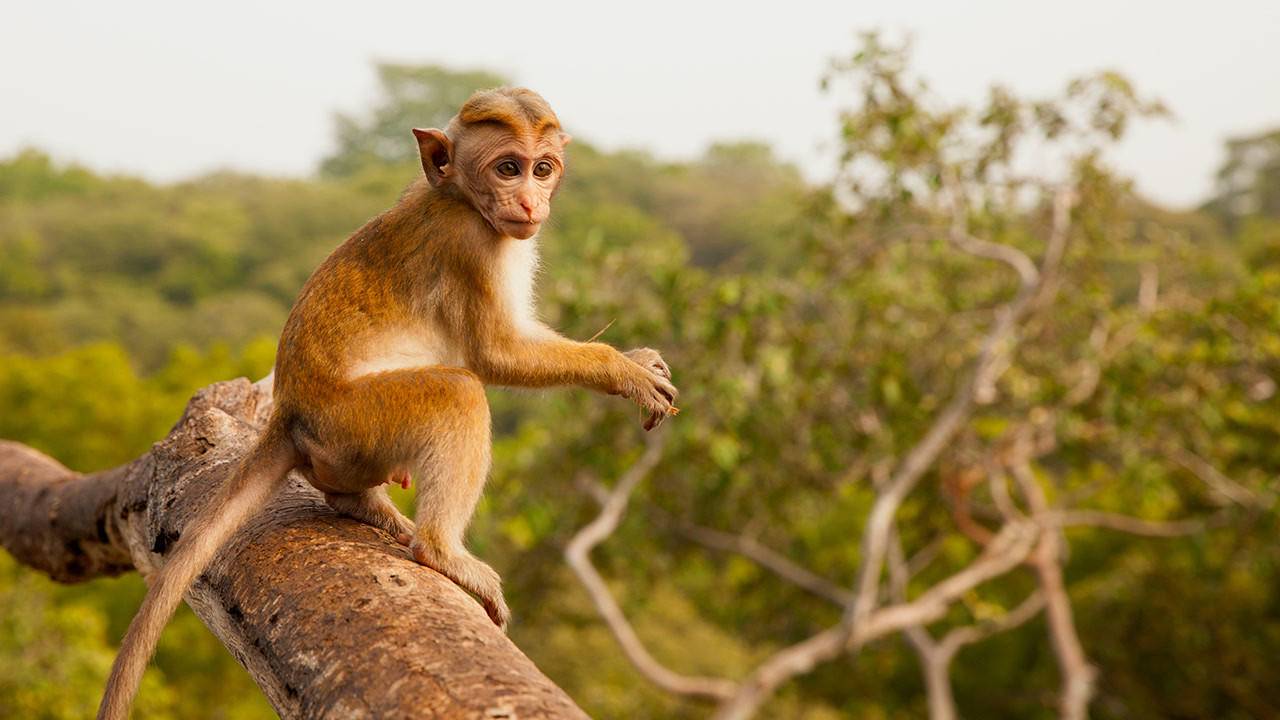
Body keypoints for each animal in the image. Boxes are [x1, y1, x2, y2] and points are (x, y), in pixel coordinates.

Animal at [97, 85, 680, 717]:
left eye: (542, 168)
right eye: (508, 168)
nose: (530, 201)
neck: (459, 198)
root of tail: (289, 414)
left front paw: (638, 359)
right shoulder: (473, 244)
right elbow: (495, 355)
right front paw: (625, 370)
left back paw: (358, 503)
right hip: (355, 421)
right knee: (457, 393)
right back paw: (439, 551)